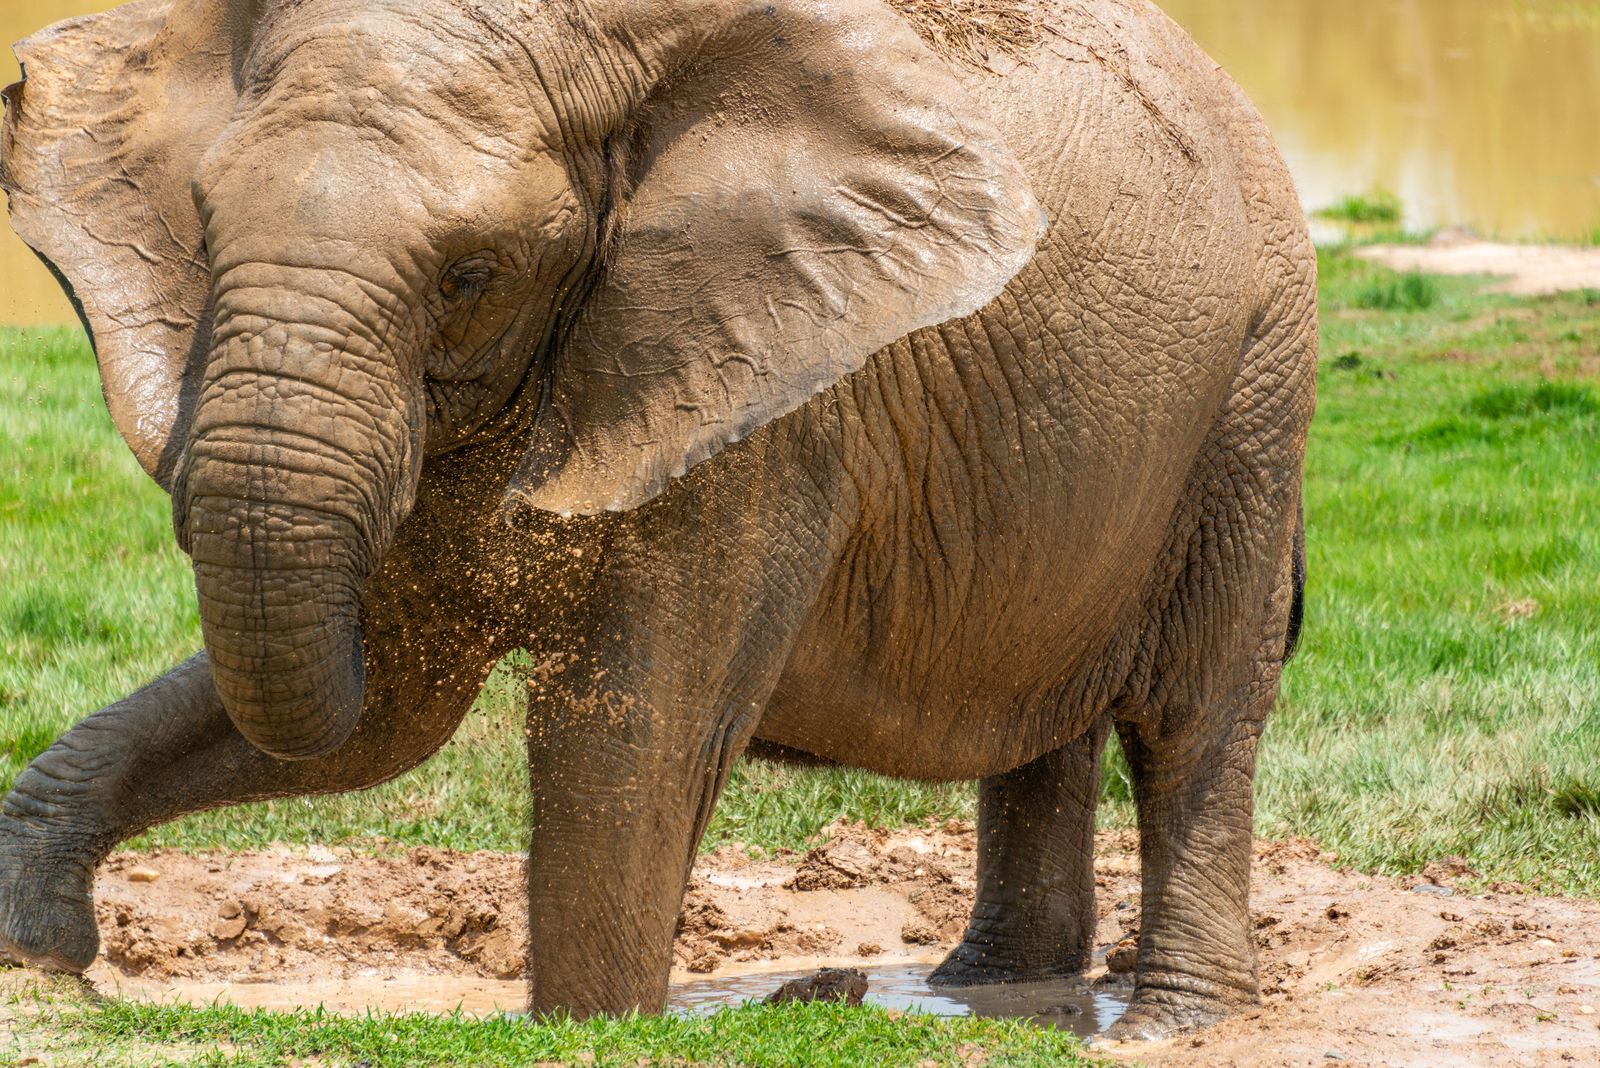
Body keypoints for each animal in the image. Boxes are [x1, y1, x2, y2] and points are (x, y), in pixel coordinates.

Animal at [0, 0, 1315, 1038]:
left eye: (470, 274)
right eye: (204, 225)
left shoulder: (769, 388)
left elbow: (630, 734)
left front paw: (589, 1030)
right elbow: (385, 706)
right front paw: (36, 949)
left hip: (1254, 391)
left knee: (1191, 718)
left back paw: (1169, 1026)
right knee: (1048, 722)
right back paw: (985, 994)